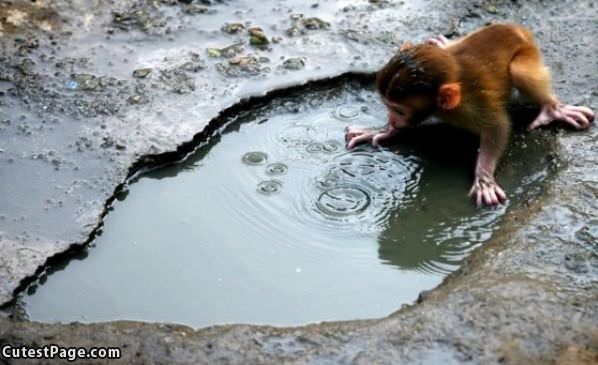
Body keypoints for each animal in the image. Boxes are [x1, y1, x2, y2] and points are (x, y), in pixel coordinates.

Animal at [346, 24, 596, 206]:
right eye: (387, 106)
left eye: (398, 110)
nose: (392, 119)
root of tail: (515, 29)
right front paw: (382, 131)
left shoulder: (472, 106)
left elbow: (497, 127)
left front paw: (484, 178)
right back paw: (446, 43)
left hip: (528, 54)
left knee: (519, 71)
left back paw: (554, 108)